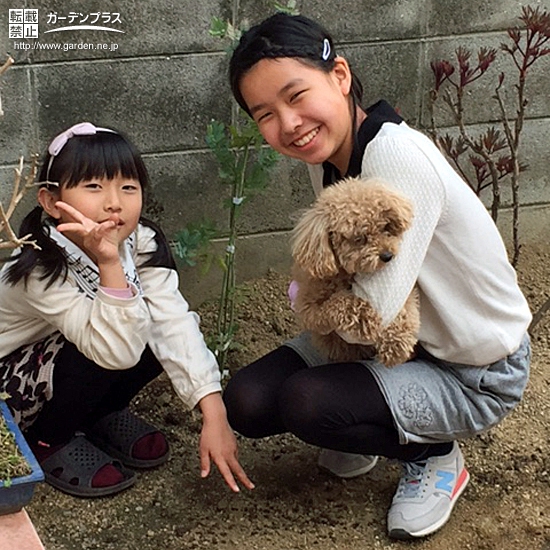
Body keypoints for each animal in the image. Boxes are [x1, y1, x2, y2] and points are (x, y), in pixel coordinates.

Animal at [294, 178, 422, 366]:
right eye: (359, 238)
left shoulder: (404, 293)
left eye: (385, 227)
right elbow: (337, 303)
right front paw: (365, 316)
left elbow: (406, 306)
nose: (387, 255)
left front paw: (397, 343)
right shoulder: (308, 309)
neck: (344, 274)